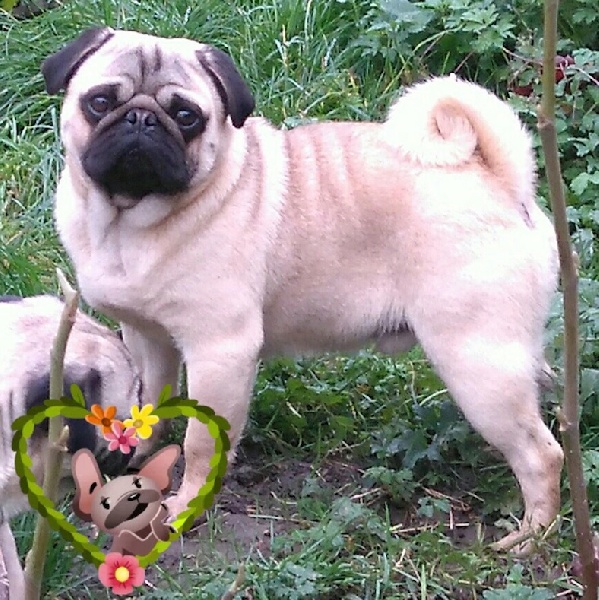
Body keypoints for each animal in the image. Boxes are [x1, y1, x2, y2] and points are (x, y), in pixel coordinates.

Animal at [41, 27, 563, 552]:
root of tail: (499, 181)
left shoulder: (219, 352)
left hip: (477, 363)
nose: (141, 119)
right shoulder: (147, 337)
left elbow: (201, 443)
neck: (128, 224)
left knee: (541, 455)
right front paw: (136, 455)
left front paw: (185, 505)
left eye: (187, 117)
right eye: (100, 102)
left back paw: (531, 536)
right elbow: (149, 403)